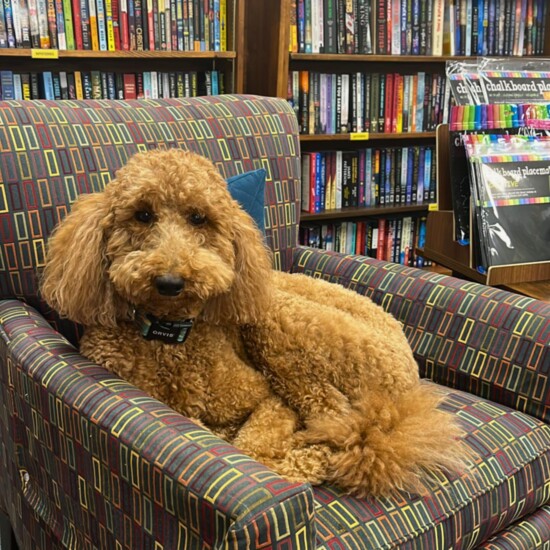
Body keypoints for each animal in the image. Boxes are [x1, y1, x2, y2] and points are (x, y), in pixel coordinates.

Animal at [41, 149, 468, 498]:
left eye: (199, 218)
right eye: (142, 215)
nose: (170, 282)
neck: (168, 337)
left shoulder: (268, 397)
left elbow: (251, 446)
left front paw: (287, 454)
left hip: (281, 325)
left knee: (338, 422)